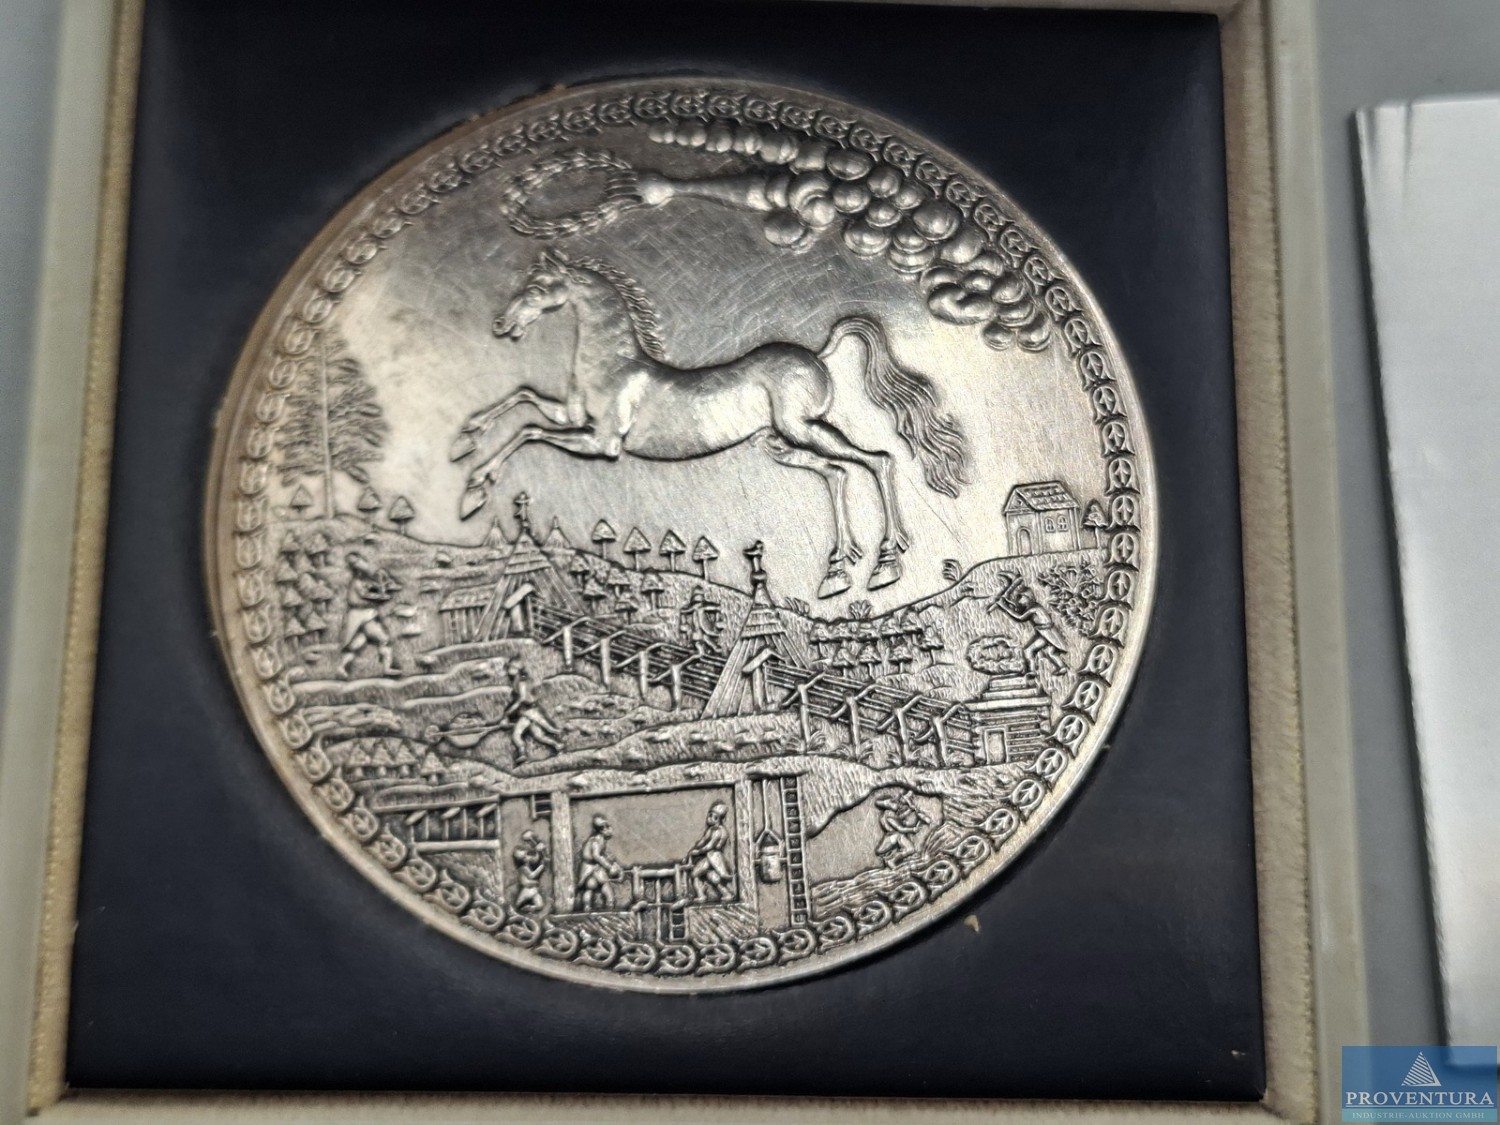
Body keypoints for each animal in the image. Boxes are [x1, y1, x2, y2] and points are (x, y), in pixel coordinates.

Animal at [450, 249, 970, 597]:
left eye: (538, 288)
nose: (501, 326)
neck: (612, 365)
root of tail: (817, 355)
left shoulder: (603, 442)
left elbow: (528, 431)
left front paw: (474, 489)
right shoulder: (574, 416)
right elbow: (522, 399)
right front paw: (464, 443)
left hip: (803, 429)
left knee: (876, 460)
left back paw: (887, 564)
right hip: (781, 443)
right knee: (837, 472)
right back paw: (837, 573)